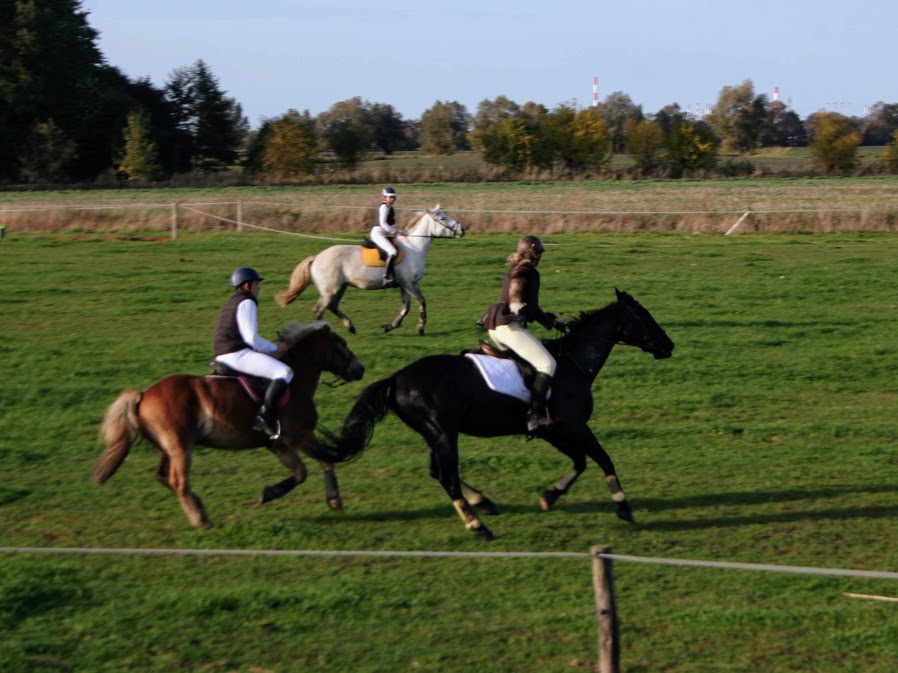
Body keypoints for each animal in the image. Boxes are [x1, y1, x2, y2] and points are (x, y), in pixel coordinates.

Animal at [93, 322, 364, 528]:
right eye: (342, 344)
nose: (359, 369)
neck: (296, 380)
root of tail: (143, 395)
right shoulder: (301, 436)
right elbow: (326, 461)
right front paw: (334, 500)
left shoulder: (278, 444)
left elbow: (300, 472)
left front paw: (269, 494)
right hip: (181, 448)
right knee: (178, 482)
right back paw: (200, 518)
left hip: (167, 449)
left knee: (164, 477)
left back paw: (199, 508)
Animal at [276, 202, 466, 334]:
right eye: (442, 218)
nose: (462, 229)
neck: (414, 246)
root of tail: (316, 258)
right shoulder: (410, 284)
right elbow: (422, 302)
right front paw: (420, 327)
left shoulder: (404, 285)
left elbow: (406, 307)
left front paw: (391, 326)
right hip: (330, 289)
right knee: (320, 310)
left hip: (340, 287)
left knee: (332, 306)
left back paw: (350, 327)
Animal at [334, 288, 672, 540]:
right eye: (644, 316)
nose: (669, 345)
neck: (573, 364)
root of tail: (397, 378)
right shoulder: (574, 426)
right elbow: (602, 458)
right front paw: (623, 506)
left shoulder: (553, 430)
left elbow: (580, 461)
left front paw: (550, 496)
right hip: (443, 433)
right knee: (447, 476)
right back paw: (478, 526)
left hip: (435, 434)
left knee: (437, 471)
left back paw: (483, 503)